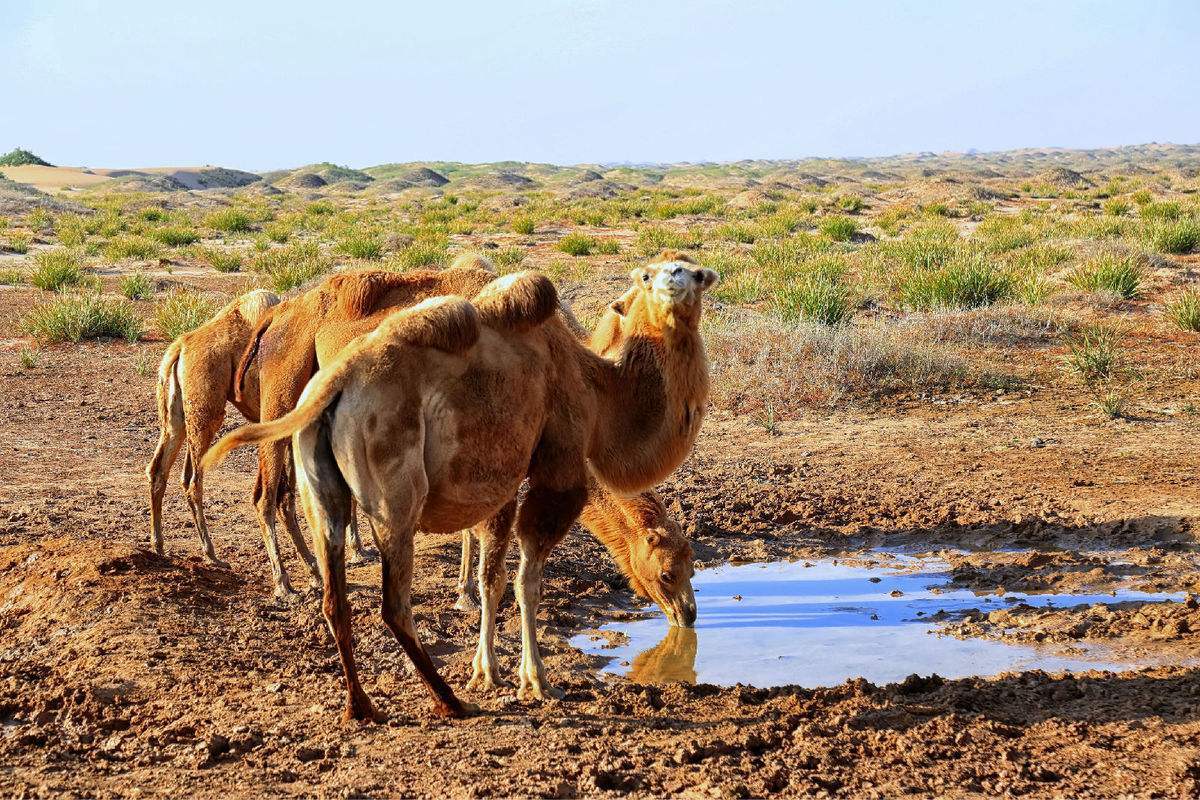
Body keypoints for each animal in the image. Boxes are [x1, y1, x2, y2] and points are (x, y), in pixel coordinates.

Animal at [204, 253, 720, 724]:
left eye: (695, 273)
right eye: (668, 573)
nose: (689, 615)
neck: (596, 389)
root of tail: (335, 382)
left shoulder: (500, 479)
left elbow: (493, 576)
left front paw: (488, 668)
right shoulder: (557, 472)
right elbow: (524, 581)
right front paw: (532, 681)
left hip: (320, 476)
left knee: (335, 596)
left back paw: (362, 706)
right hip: (390, 487)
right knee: (389, 600)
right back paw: (448, 700)